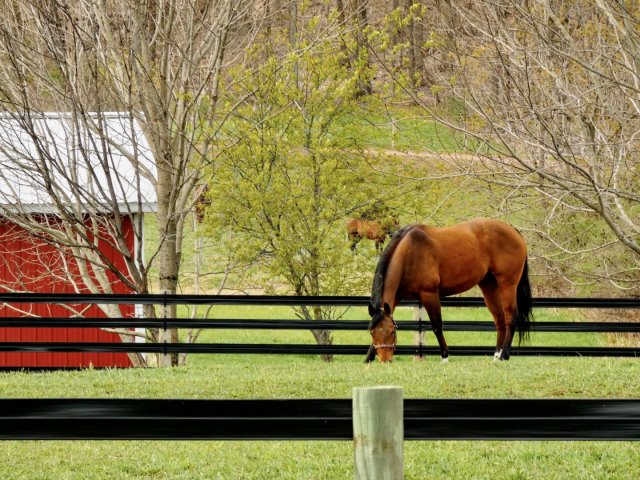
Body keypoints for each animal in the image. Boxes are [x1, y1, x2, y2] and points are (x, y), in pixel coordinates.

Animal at [365, 218, 533, 363]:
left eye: (391, 332)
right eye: (372, 332)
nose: (385, 360)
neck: (410, 253)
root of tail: (513, 231)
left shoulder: (429, 294)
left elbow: (437, 326)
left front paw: (445, 356)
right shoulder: (394, 299)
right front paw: (367, 359)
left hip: (508, 284)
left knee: (510, 318)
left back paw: (504, 355)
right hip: (489, 286)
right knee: (499, 319)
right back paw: (497, 355)